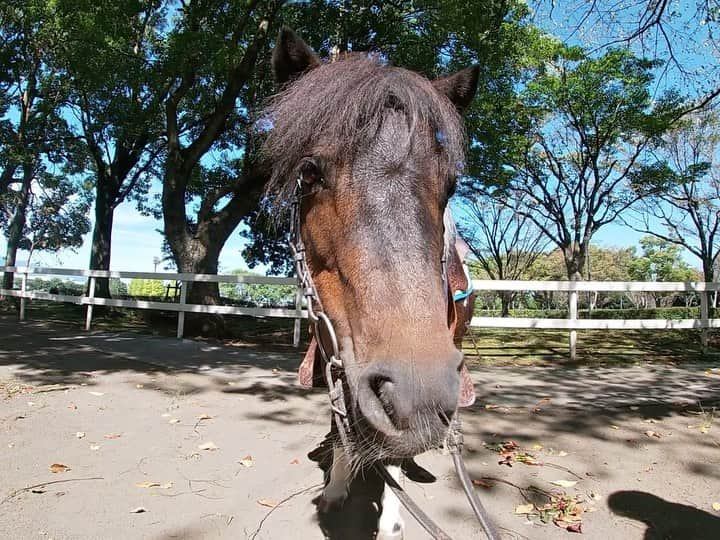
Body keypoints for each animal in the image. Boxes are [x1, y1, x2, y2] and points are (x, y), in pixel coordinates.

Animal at [262, 28, 478, 540]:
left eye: (451, 186)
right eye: (309, 172)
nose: (421, 391)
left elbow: (394, 449)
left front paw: (392, 521)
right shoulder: (332, 345)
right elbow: (340, 415)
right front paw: (337, 487)